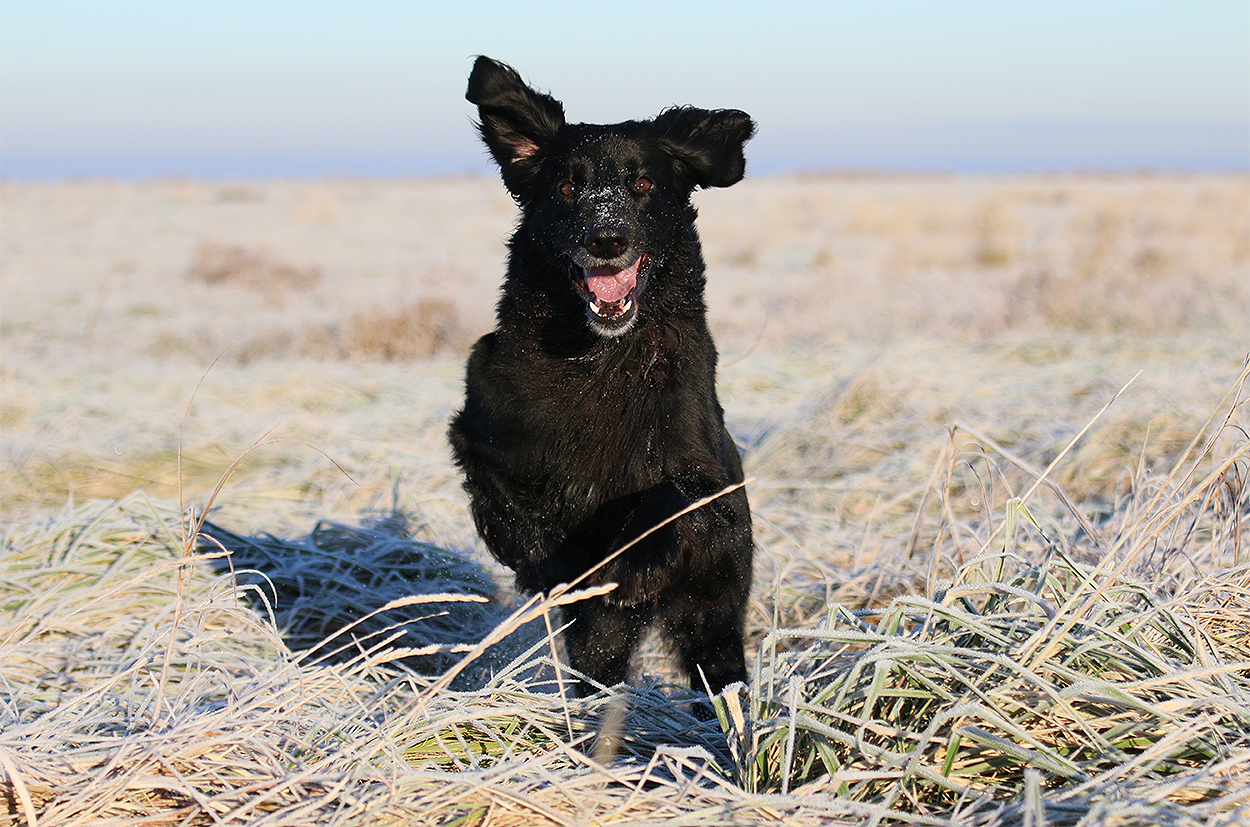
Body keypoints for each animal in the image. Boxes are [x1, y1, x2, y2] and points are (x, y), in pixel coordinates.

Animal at [449, 56, 755, 699]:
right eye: (567, 189)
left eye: (642, 185)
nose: (606, 238)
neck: (597, 357)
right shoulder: (480, 413)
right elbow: (499, 484)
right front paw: (539, 551)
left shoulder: (705, 480)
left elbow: (676, 496)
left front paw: (629, 562)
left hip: (713, 618)